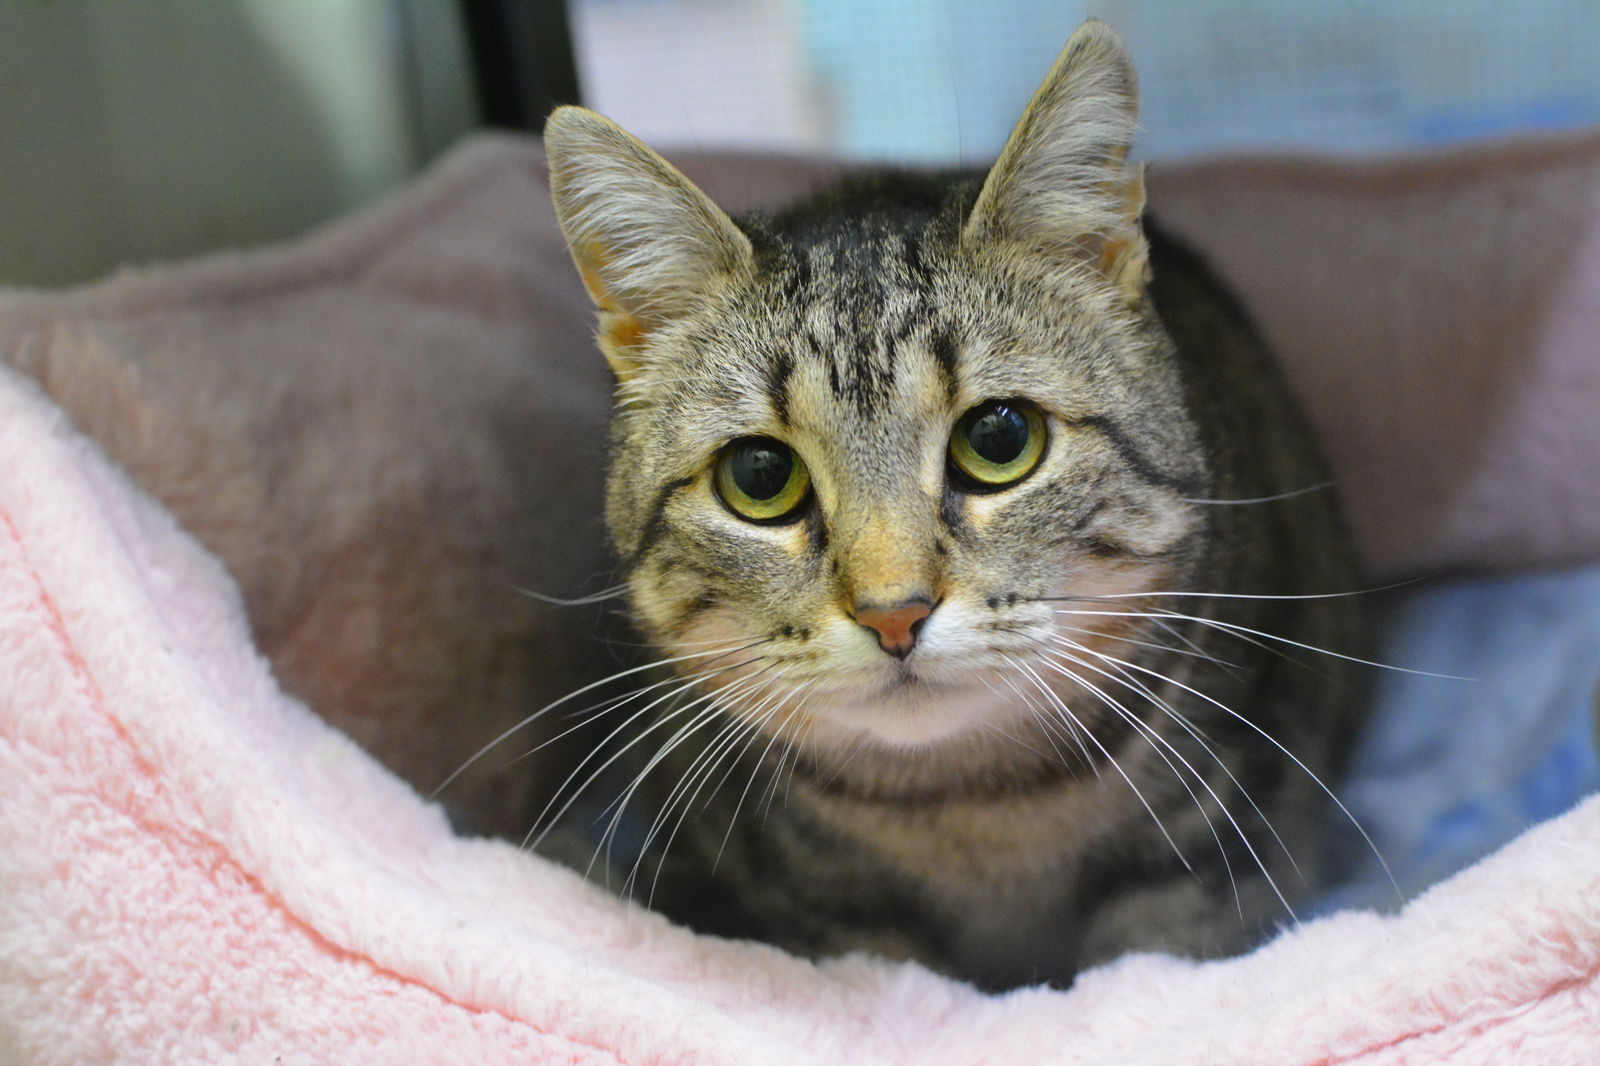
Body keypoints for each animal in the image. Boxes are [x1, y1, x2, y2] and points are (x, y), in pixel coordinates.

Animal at [537, 20, 1363, 985]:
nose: (893, 613)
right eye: (760, 477)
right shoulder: (833, 920)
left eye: (999, 439)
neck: (968, 808)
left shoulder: (1210, 844)